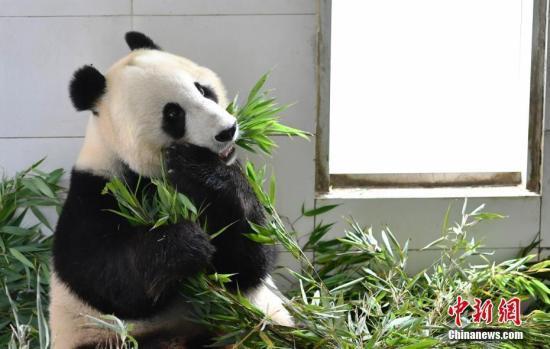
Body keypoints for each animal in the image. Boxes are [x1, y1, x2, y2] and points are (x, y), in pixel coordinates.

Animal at [49, 31, 296, 346]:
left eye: (203, 90)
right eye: (173, 114)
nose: (226, 131)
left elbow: (248, 261)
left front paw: (201, 171)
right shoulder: (95, 193)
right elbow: (108, 279)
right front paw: (185, 243)